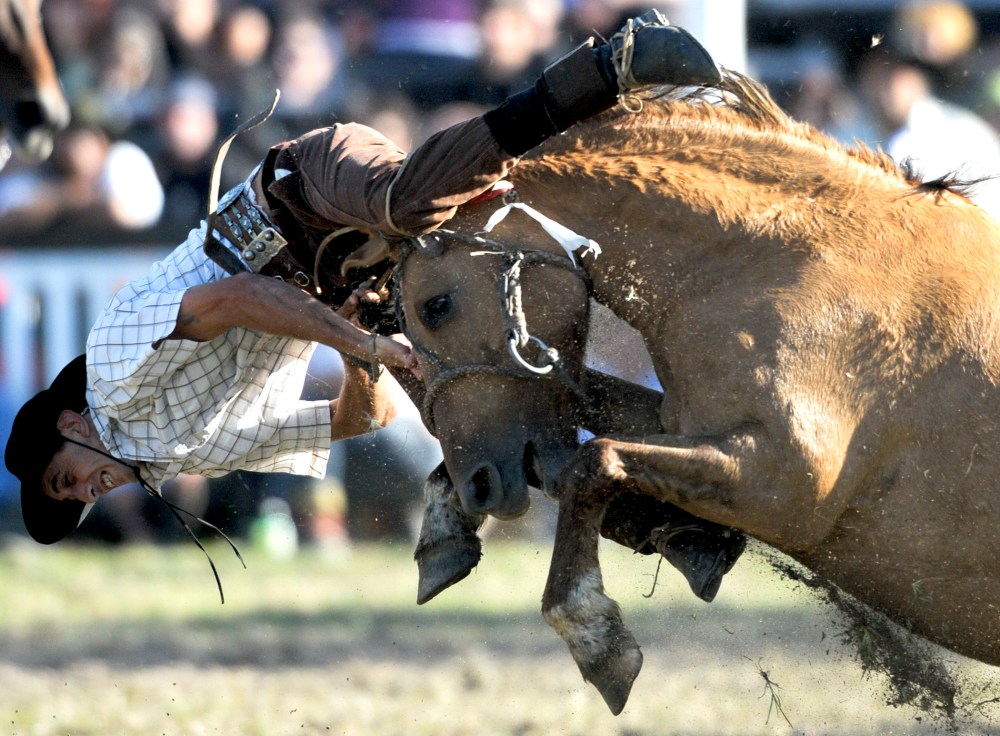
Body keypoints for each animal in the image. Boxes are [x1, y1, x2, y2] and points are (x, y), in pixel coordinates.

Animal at [379, 71, 1000, 714]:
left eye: (435, 305)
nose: (479, 483)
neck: (768, 257)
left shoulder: (785, 483)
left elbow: (592, 460)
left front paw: (593, 634)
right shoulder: (682, 422)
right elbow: (591, 418)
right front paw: (444, 520)